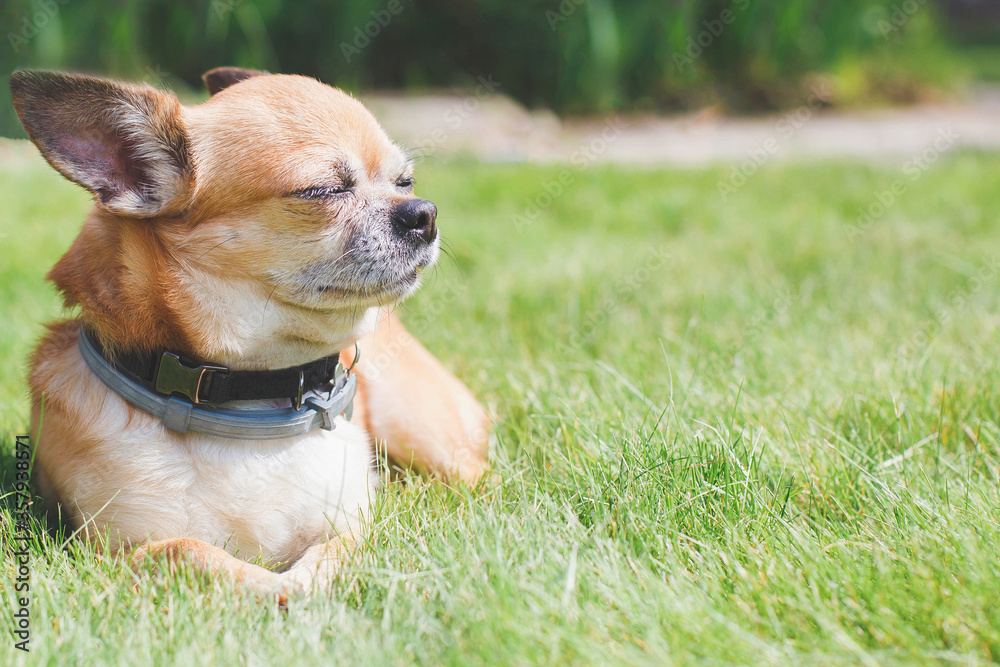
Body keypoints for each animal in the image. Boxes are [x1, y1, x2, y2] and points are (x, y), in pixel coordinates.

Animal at [10, 68, 488, 600]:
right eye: (322, 190)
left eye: (405, 182)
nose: (424, 212)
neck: (252, 400)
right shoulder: (115, 553)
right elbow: (198, 553)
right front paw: (278, 589)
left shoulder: (352, 527)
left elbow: (334, 556)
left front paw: (307, 584)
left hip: (422, 437)